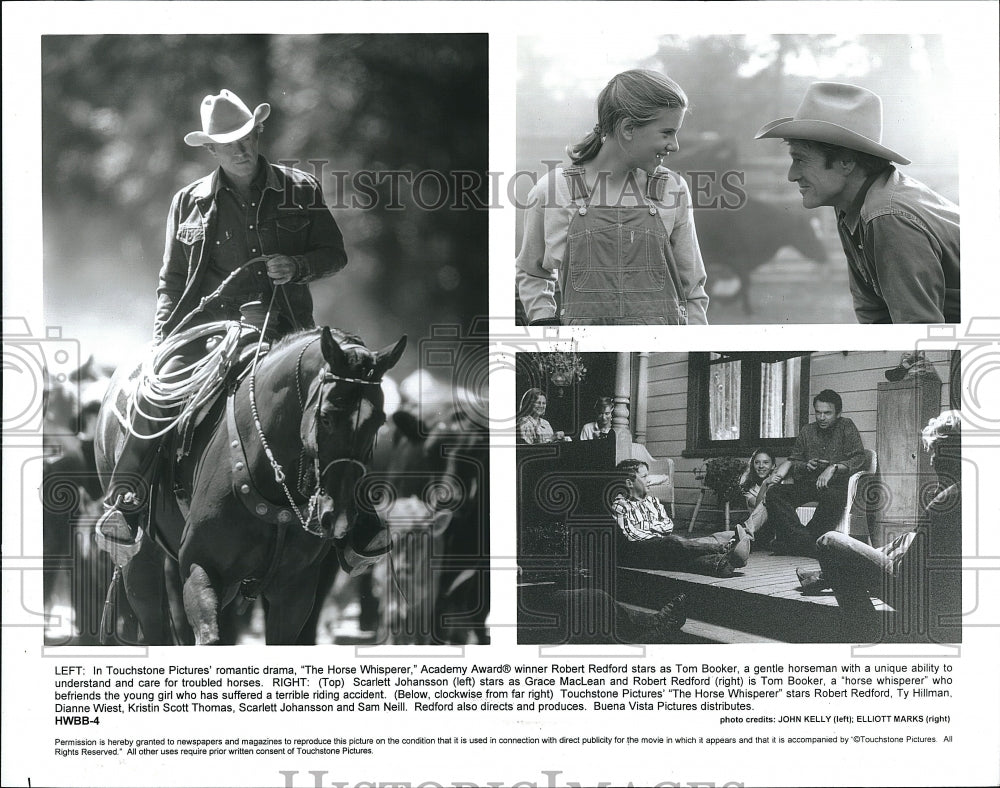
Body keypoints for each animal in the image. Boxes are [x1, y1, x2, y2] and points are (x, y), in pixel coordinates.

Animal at [94, 324, 406, 644]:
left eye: (379, 422)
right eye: (326, 417)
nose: (339, 516)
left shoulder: (294, 589)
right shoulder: (201, 567)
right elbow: (210, 635)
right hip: (142, 558)